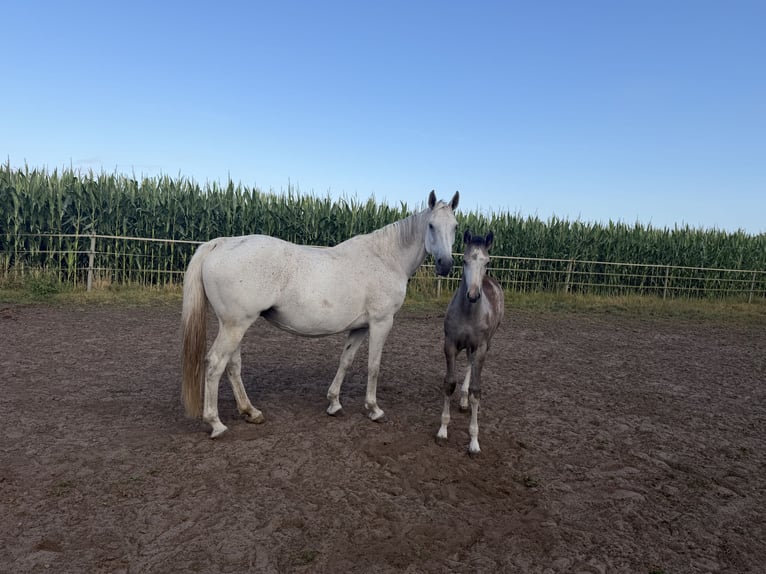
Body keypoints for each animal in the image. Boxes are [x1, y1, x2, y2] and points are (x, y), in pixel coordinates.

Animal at [182, 190, 460, 438]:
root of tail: (222, 242)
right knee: (215, 364)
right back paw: (216, 423)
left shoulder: (360, 327)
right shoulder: (381, 322)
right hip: (235, 326)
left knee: (232, 365)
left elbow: (346, 360)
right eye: (431, 226)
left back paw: (250, 412)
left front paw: (334, 403)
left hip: (234, 326)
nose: (446, 264)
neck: (386, 258)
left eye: (456, 227)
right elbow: (374, 366)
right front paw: (374, 409)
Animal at [436, 229, 504, 455]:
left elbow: (476, 391)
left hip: (485, 344)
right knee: (468, 363)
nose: (473, 295)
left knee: (472, 365)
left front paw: (474, 441)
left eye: (487, 262)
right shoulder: (450, 344)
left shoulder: (481, 347)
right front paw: (442, 430)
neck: (468, 312)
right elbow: (449, 384)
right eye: (464, 261)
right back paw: (463, 400)